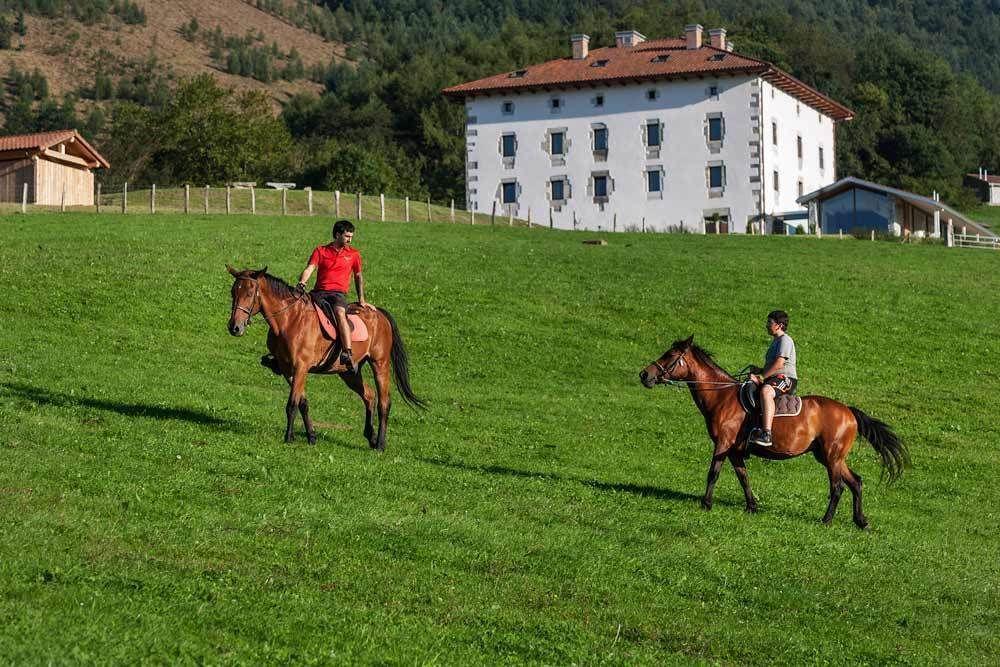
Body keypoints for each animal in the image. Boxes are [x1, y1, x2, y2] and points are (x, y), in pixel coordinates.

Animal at [226, 266, 422, 448]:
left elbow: (292, 404)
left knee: (384, 402)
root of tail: (378, 313)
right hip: (348, 372)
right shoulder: (287, 369)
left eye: (250, 293)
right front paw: (311, 437)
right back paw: (371, 436)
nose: (234, 327)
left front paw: (289, 437)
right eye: (233, 292)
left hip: (379, 363)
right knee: (369, 395)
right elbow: (303, 403)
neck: (289, 320)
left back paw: (380, 443)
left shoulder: (301, 367)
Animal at [640, 336, 908, 528]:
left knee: (838, 487)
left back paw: (826, 520)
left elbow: (713, 473)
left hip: (832, 457)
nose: (644, 375)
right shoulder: (735, 450)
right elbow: (743, 477)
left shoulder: (723, 443)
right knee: (856, 482)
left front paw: (705, 504)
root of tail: (849, 412)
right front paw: (752, 507)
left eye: (670, 355)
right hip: (829, 456)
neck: (722, 397)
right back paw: (861, 521)